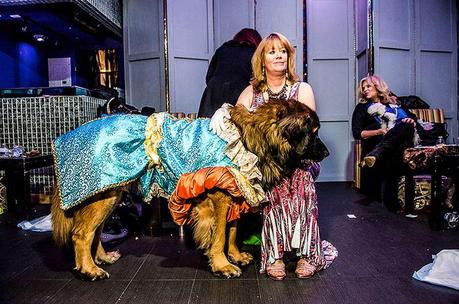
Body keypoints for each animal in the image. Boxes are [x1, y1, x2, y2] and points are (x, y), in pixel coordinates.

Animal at [52, 99, 328, 280]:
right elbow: (220, 235)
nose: (326, 153)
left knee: (95, 230)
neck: (250, 137)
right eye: (313, 133)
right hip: (103, 195)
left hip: (110, 194)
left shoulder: (236, 190)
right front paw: (222, 264)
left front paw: (235, 255)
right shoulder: (221, 195)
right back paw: (89, 269)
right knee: (82, 233)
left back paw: (101, 257)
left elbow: (232, 231)